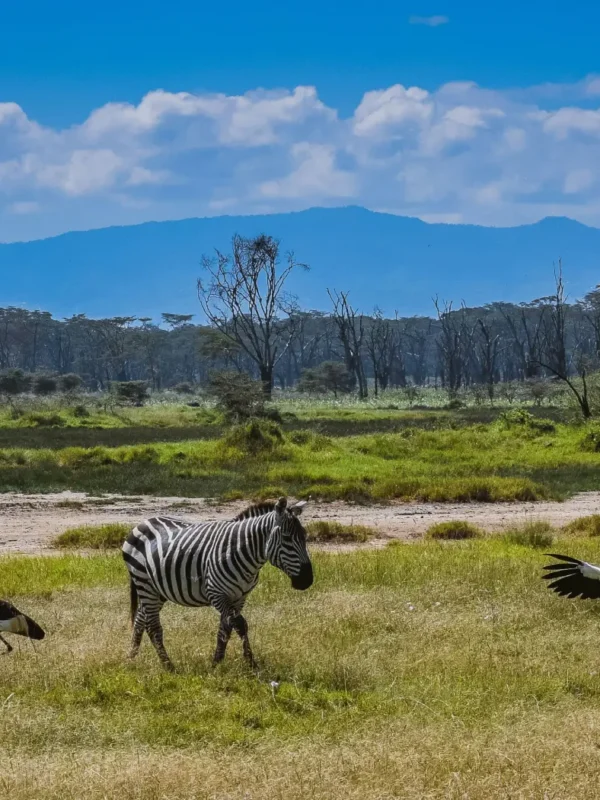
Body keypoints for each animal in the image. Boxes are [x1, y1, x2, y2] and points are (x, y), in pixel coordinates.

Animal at [121, 496, 313, 671]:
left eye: (304, 537)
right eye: (287, 538)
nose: (308, 580)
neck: (243, 552)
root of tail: (143, 523)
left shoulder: (239, 597)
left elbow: (225, 629)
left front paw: (217, 662)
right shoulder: (217, 593)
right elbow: (240, 625)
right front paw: (251, 663)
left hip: (157, 589)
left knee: (140, 618)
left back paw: (131, 657)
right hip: (144, 583)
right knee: (153, 627)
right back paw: (168, 666)